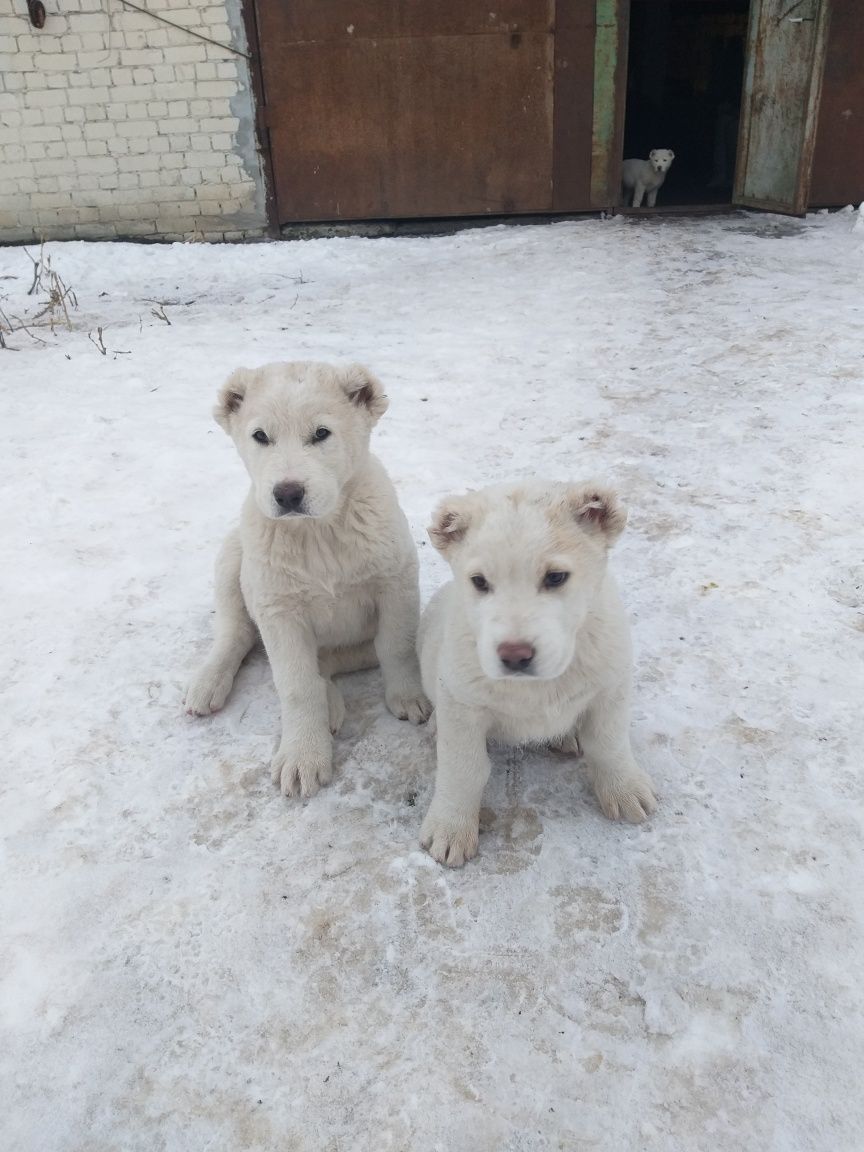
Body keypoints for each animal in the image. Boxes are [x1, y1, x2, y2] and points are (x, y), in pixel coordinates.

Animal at [187, 364, 433, 797]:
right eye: (260, 436)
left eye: (321, 433)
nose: (287, 493)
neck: (318, 531)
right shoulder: (278, 611)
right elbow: (296, 685)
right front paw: (303, 754)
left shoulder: (396, 582)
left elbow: (396, 647)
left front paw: (408, 696)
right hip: (234, 556)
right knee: (236, 634)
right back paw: (209, 682)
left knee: (332, 660)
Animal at [419, 476, 654, 866]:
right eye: (479, 582)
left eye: (556, 577)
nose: (515, 655)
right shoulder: (461, 703)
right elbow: (462, 768)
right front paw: (450, 827)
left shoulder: (610, 687)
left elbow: (609, 744)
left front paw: (624, 789)